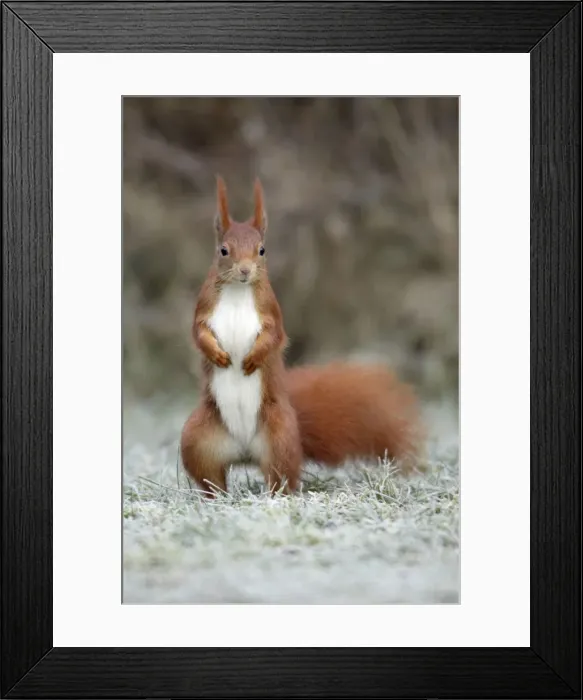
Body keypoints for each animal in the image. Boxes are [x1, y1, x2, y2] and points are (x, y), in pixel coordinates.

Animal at [180, 177, 423, 497]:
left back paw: (275, 497)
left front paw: (253, 358)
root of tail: (245, 452)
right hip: (198, 440)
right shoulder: (203, 310)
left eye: (262, 250)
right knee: (210, 477)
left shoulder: (272, 313)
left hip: (280, 439)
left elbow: (274, 338)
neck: (237, 291)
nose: (245, 271)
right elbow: (199, 334)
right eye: (223, 250)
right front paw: (217, 355)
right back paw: (216, 498)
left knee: (282, 477)